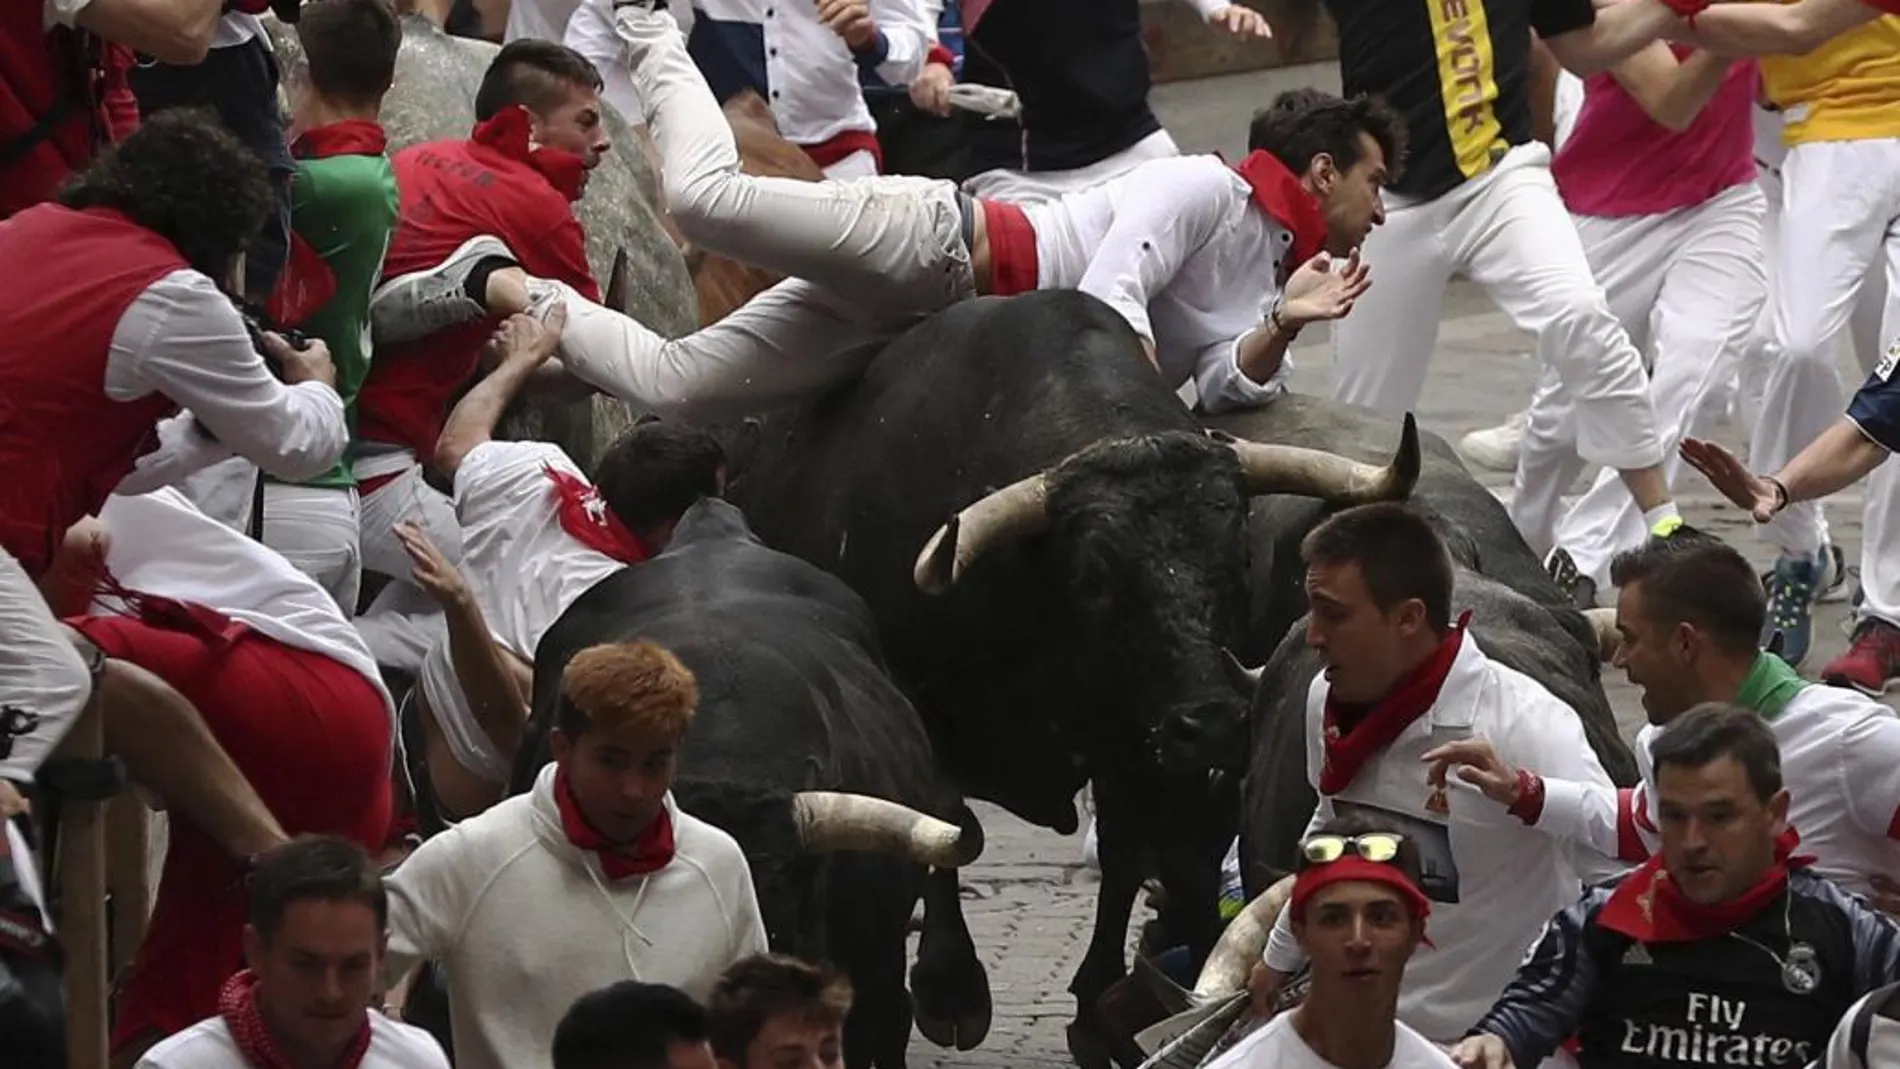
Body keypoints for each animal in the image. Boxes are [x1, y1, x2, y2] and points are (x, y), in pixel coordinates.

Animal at [725, 292, 1428, 1069]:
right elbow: (948, 821)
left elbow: (1130, 853)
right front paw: (950, 986)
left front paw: (1104, 1004)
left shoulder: (1145, 740)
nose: (1213, 721)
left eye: (1238, 557)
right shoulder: (921, 706)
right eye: (1095, 578)